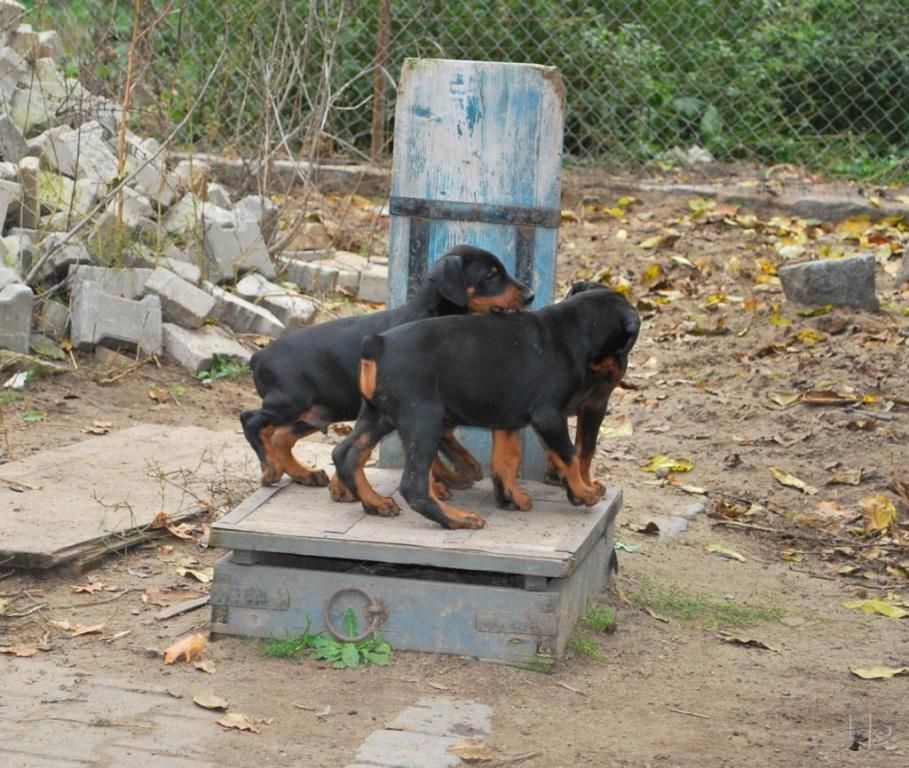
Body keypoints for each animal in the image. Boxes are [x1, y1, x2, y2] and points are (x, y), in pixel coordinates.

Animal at [240, 245, 534, 492]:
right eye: (490, 275)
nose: (530, 296)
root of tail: (259, 355)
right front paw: (443, 483)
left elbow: (439, 441)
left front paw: (458, 472)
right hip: (290, 401)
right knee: (251, 419)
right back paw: (270, 468)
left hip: (320, 410)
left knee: (281, 437)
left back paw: (304, 474)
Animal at [332, 281, 640, 529]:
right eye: (626, 346)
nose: (619, 376)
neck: (572, 327)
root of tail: (377, 343)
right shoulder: (549, 415)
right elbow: (570, 455)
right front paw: (585, 492)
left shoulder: (506, 416)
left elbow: (506, 460)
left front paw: (513, 497)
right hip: (422, 418)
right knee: (414, 486)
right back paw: (457, 519)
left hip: (379, 414)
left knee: (346, 454)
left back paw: (375, 503)